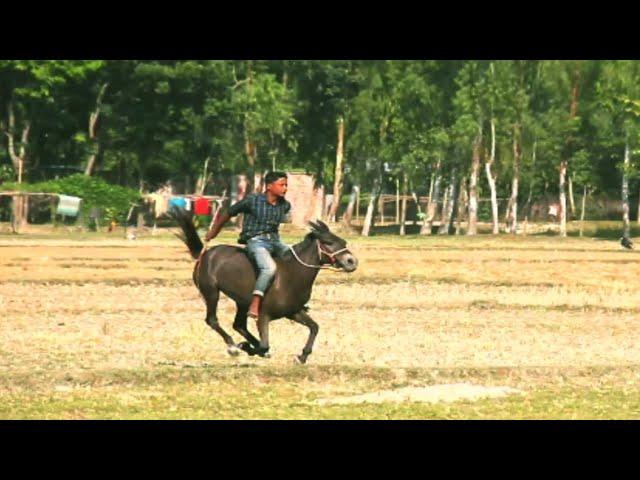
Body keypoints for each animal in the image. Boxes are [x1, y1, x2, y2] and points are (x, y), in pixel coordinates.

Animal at [170, 210, 358, 364]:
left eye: (342, 241)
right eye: (328, 242)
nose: (351, 261)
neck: (290, 275)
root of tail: (204, 253)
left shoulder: (293, 312)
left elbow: (314, 327)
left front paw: (302, 356)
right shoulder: (263, 316)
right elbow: (264, 345)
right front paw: (245, 347)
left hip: (241, 302)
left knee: (239, 325)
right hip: (211, 292)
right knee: (213, 320)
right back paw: (233, 346)